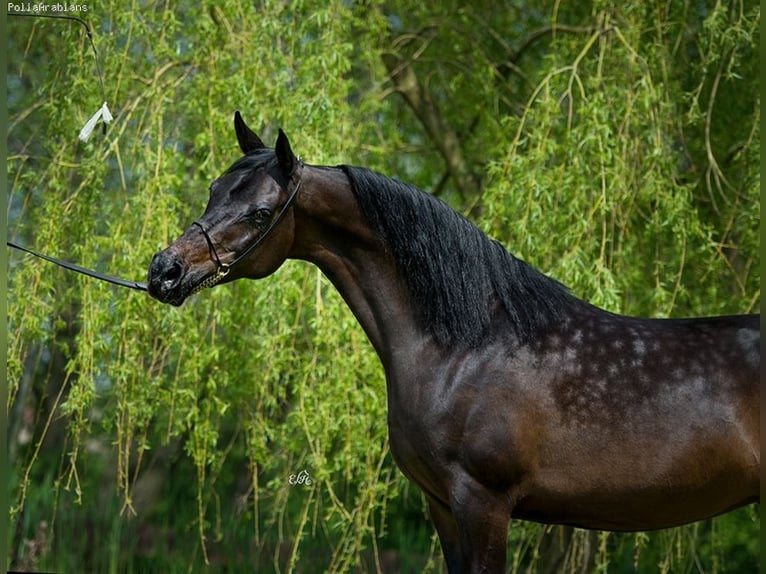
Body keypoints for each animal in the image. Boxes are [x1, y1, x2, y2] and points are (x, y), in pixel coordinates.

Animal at [148, 112, 760, 574]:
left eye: (259, 212)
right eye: (213, 191)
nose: (164, 272)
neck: (467, 349)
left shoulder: (483, 503)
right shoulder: (442, 505)